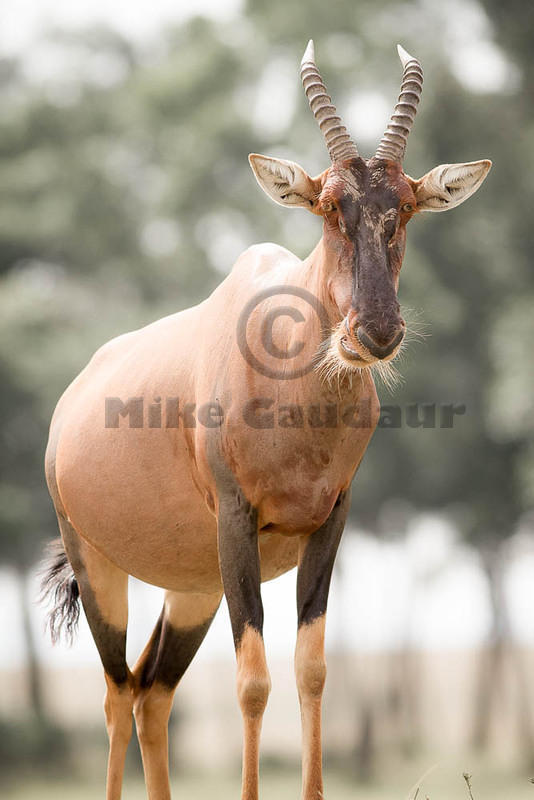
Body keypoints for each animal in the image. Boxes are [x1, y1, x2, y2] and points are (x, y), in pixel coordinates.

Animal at [43, 42, 494, 800]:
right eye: (328, 206)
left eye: (405, 207)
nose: (375, 333)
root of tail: (66, 408)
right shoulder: (236, 521)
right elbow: (252, 679)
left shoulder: (331, 521)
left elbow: (311, 669)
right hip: (99, 561)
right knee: (115, 692)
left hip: (192, 585)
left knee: (152, 693)